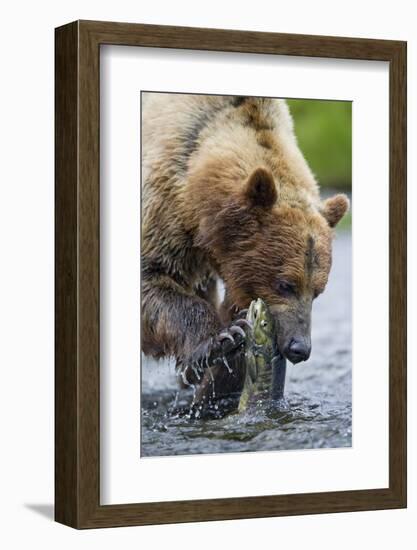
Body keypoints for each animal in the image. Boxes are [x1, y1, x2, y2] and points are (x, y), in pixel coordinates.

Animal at [141, 92, 348, 406]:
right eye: (286, 284)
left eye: (318, 291)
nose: (299, 347)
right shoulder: (163, 204)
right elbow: (153, 278)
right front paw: (222, 339)